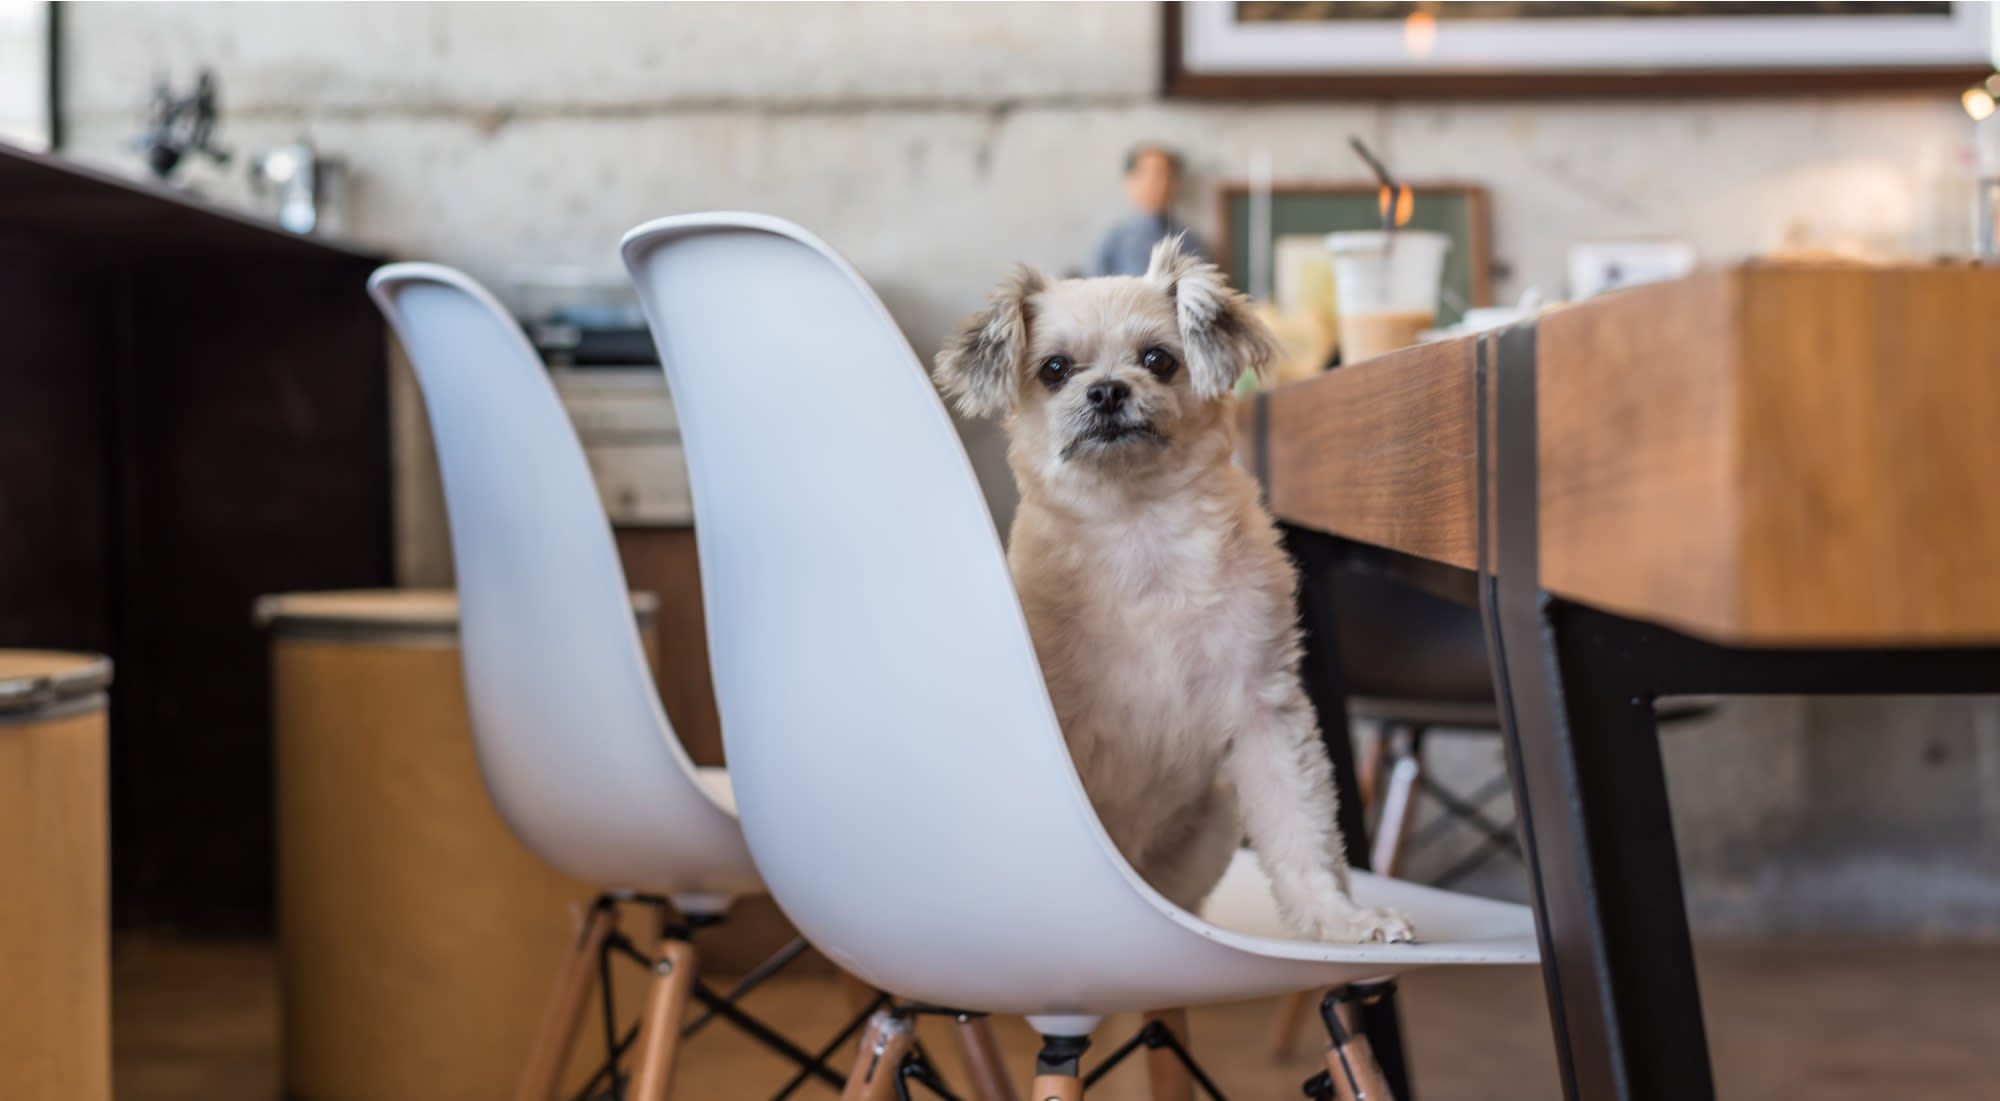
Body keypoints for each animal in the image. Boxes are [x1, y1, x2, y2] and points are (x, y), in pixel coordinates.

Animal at [932, 237, 1408, 944]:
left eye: (1158, 359)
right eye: (1054, 369)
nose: (1106, 390)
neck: (1139, 528)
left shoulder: (1266, 711)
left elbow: (1304, 836)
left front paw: (1341, 920)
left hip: (1215, 826)